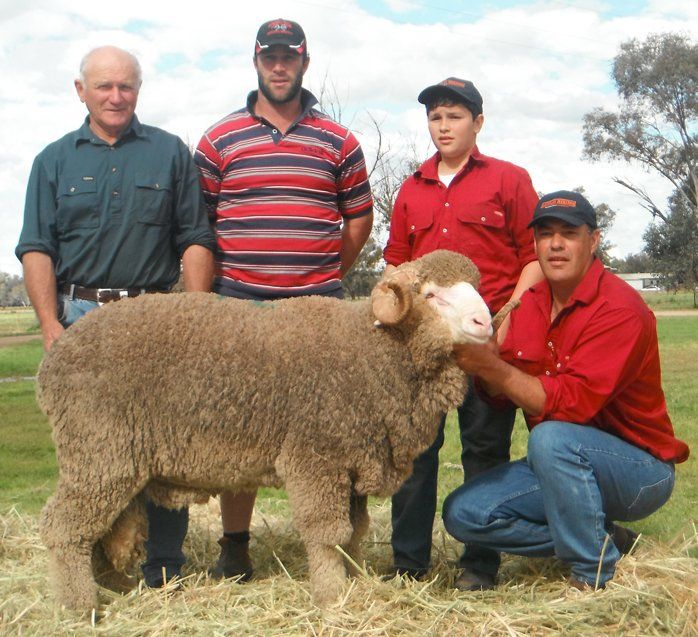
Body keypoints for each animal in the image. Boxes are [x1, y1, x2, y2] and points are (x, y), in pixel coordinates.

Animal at [37, 249, 517, 611]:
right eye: (432, 295)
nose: (484, 324)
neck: (372, 350)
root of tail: (54, 360)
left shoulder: (352, 463)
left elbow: (354, 533)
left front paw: (357, 582)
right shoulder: (316, 459)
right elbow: (327, 533)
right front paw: (332, 595)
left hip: (109, 462)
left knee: (98, 531)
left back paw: (110, 588)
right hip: (99, 453)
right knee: (64, 528)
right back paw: (80, 605)